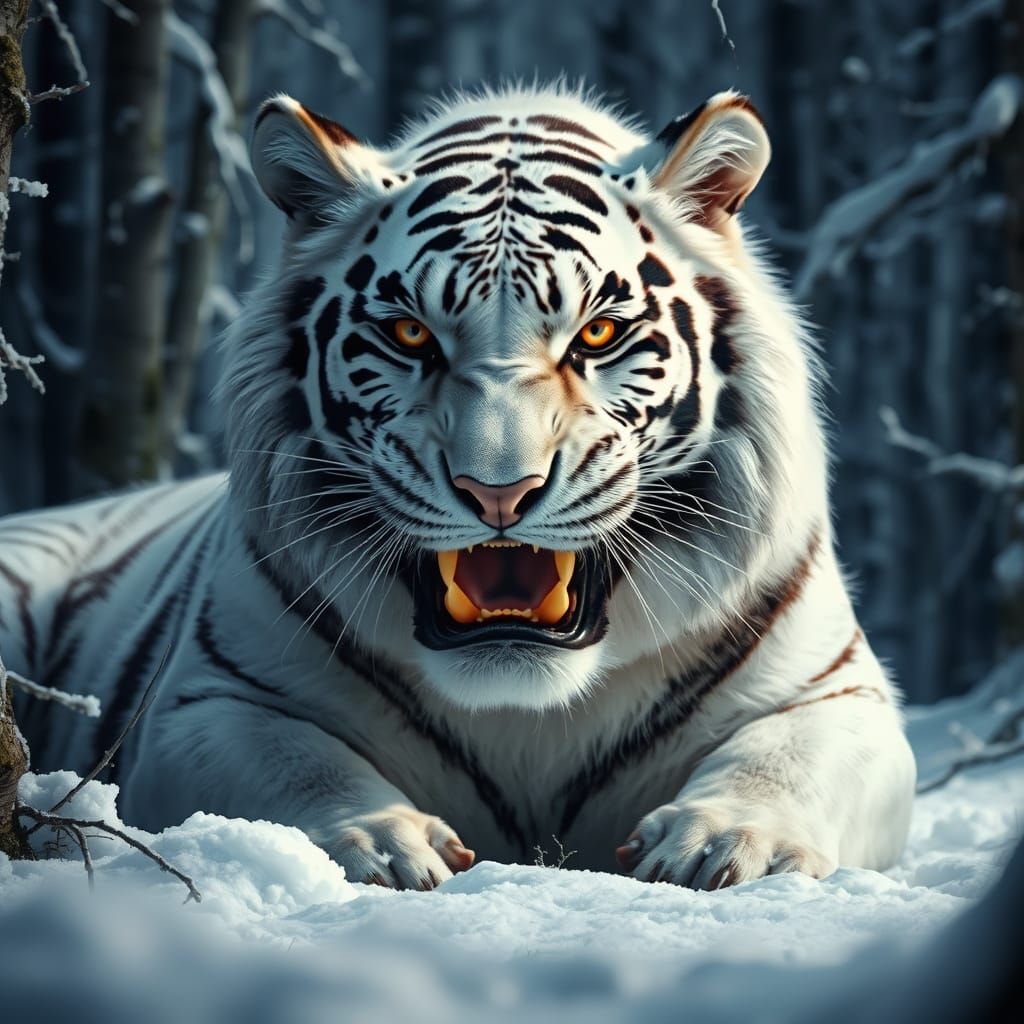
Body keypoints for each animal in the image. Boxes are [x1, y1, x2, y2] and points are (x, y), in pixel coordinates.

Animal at [0, 85, 915, 890]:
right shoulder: (211, 700)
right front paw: (382, 844)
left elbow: (783, 759)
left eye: (598, 334)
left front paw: (723, 845)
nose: (498, 491)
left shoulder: (837, 690)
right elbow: (298, 767)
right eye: (411, 334)